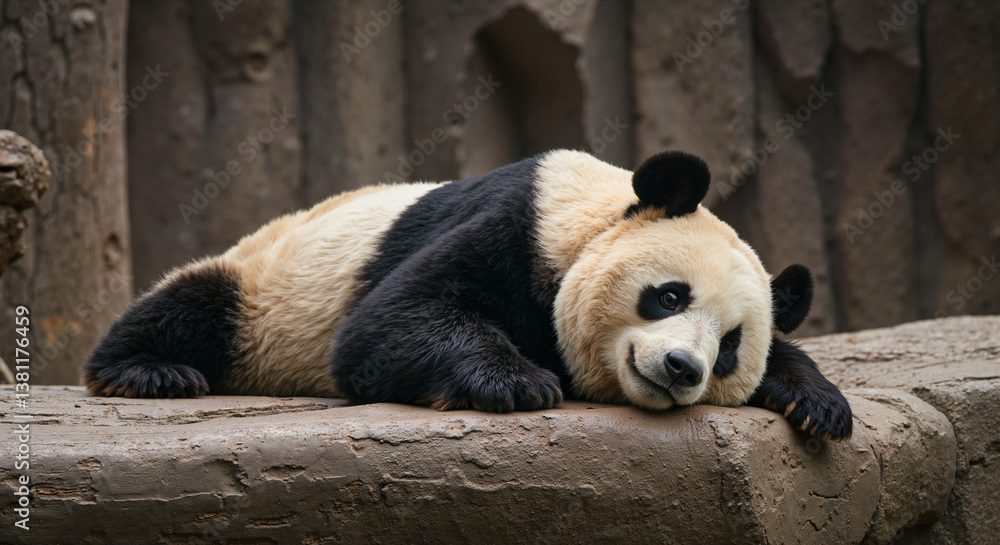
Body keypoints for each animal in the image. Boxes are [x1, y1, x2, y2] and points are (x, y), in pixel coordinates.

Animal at [83, 149, 852, 440]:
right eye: (668, 296)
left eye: (730, 348)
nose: (682, 368)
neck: (594, 213)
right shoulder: (517, 225)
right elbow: (389, 321)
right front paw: (516, 381)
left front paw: (817, 405)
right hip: (266, 279)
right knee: (196, 302)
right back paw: (149, 371)